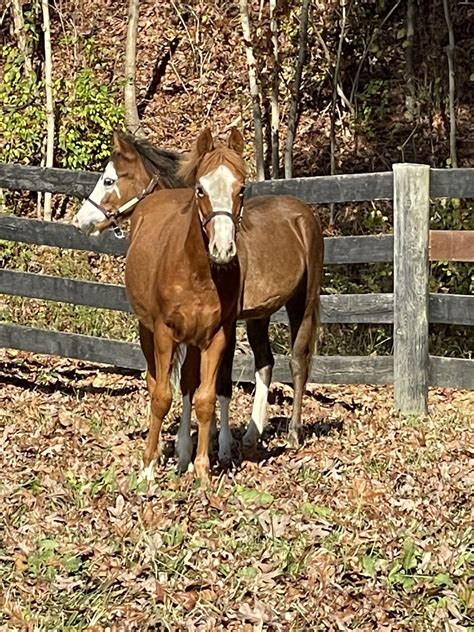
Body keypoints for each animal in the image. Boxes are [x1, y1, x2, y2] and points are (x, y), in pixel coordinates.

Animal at [73, 131, 326, 472]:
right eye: (200, 189)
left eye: (109, 180)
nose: (81, 220)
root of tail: (303, 212)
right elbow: (192, 383)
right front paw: (189, 452)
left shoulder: (223, 327)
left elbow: (219, 385)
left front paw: (218, 449)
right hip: (259, 315)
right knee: (265, 362)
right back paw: (252, 433)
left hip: (303, 302)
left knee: (298, 361)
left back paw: (294, 433)